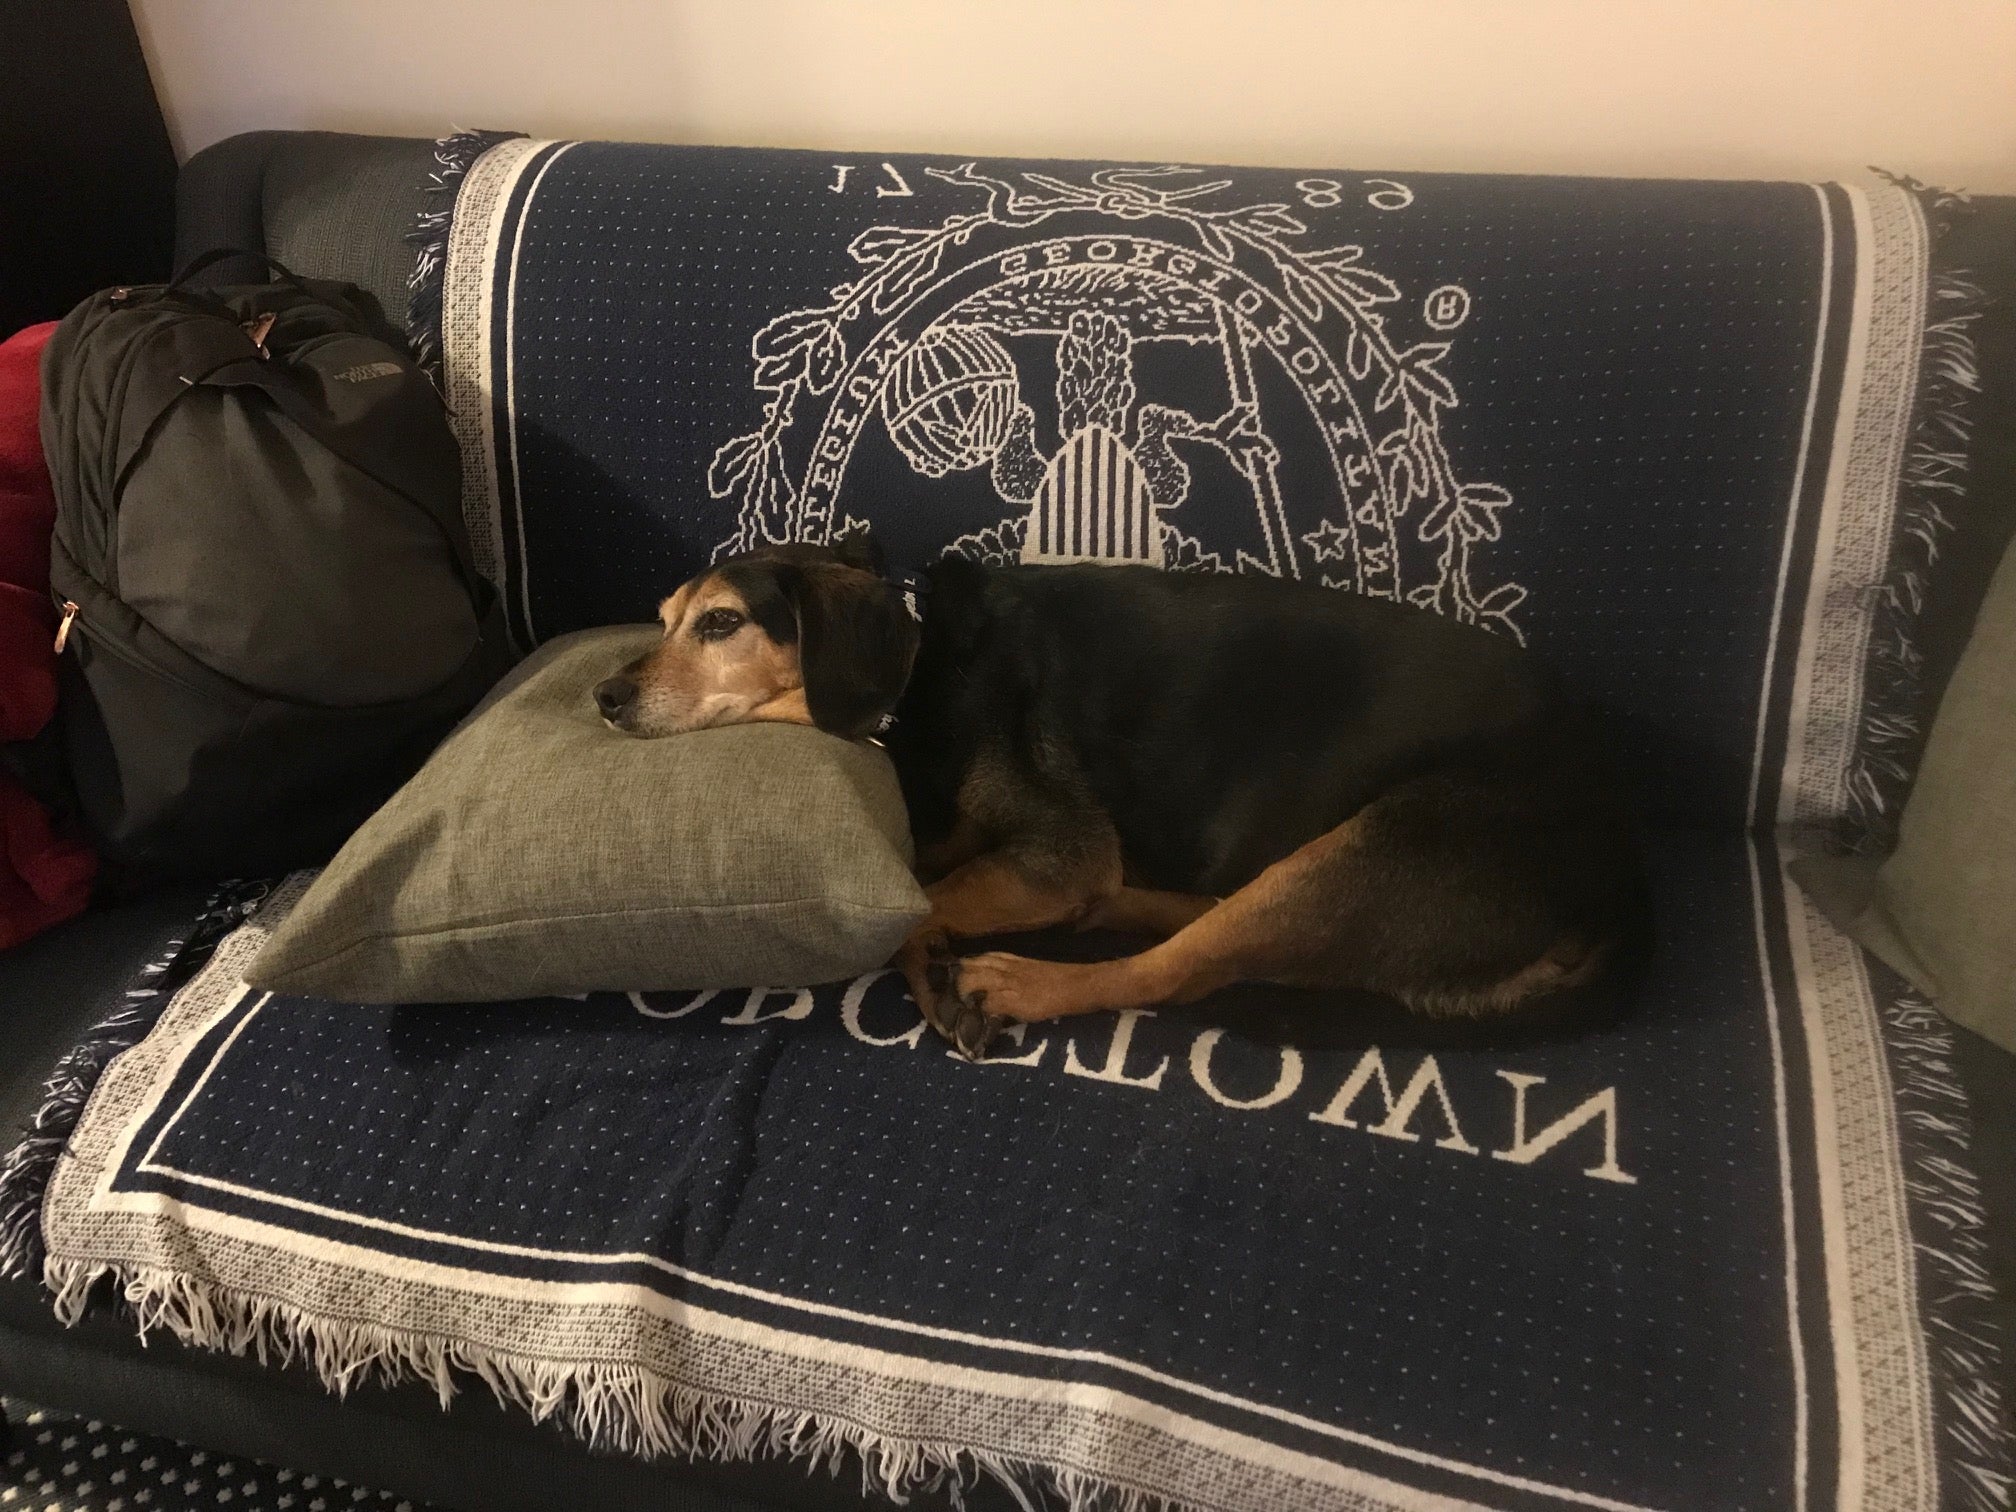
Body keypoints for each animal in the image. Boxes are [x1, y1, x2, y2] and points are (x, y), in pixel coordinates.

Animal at [588, 532, 1645, 1064]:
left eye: (721, 623)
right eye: (663, 620)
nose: (602, 695)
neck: (917, 674)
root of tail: (1628, 880)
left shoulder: (1060, 850)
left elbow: (924, 903)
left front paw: (940, 972)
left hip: (1378, 844)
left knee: (1177, 968)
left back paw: (1025, 979)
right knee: (1183, 918)